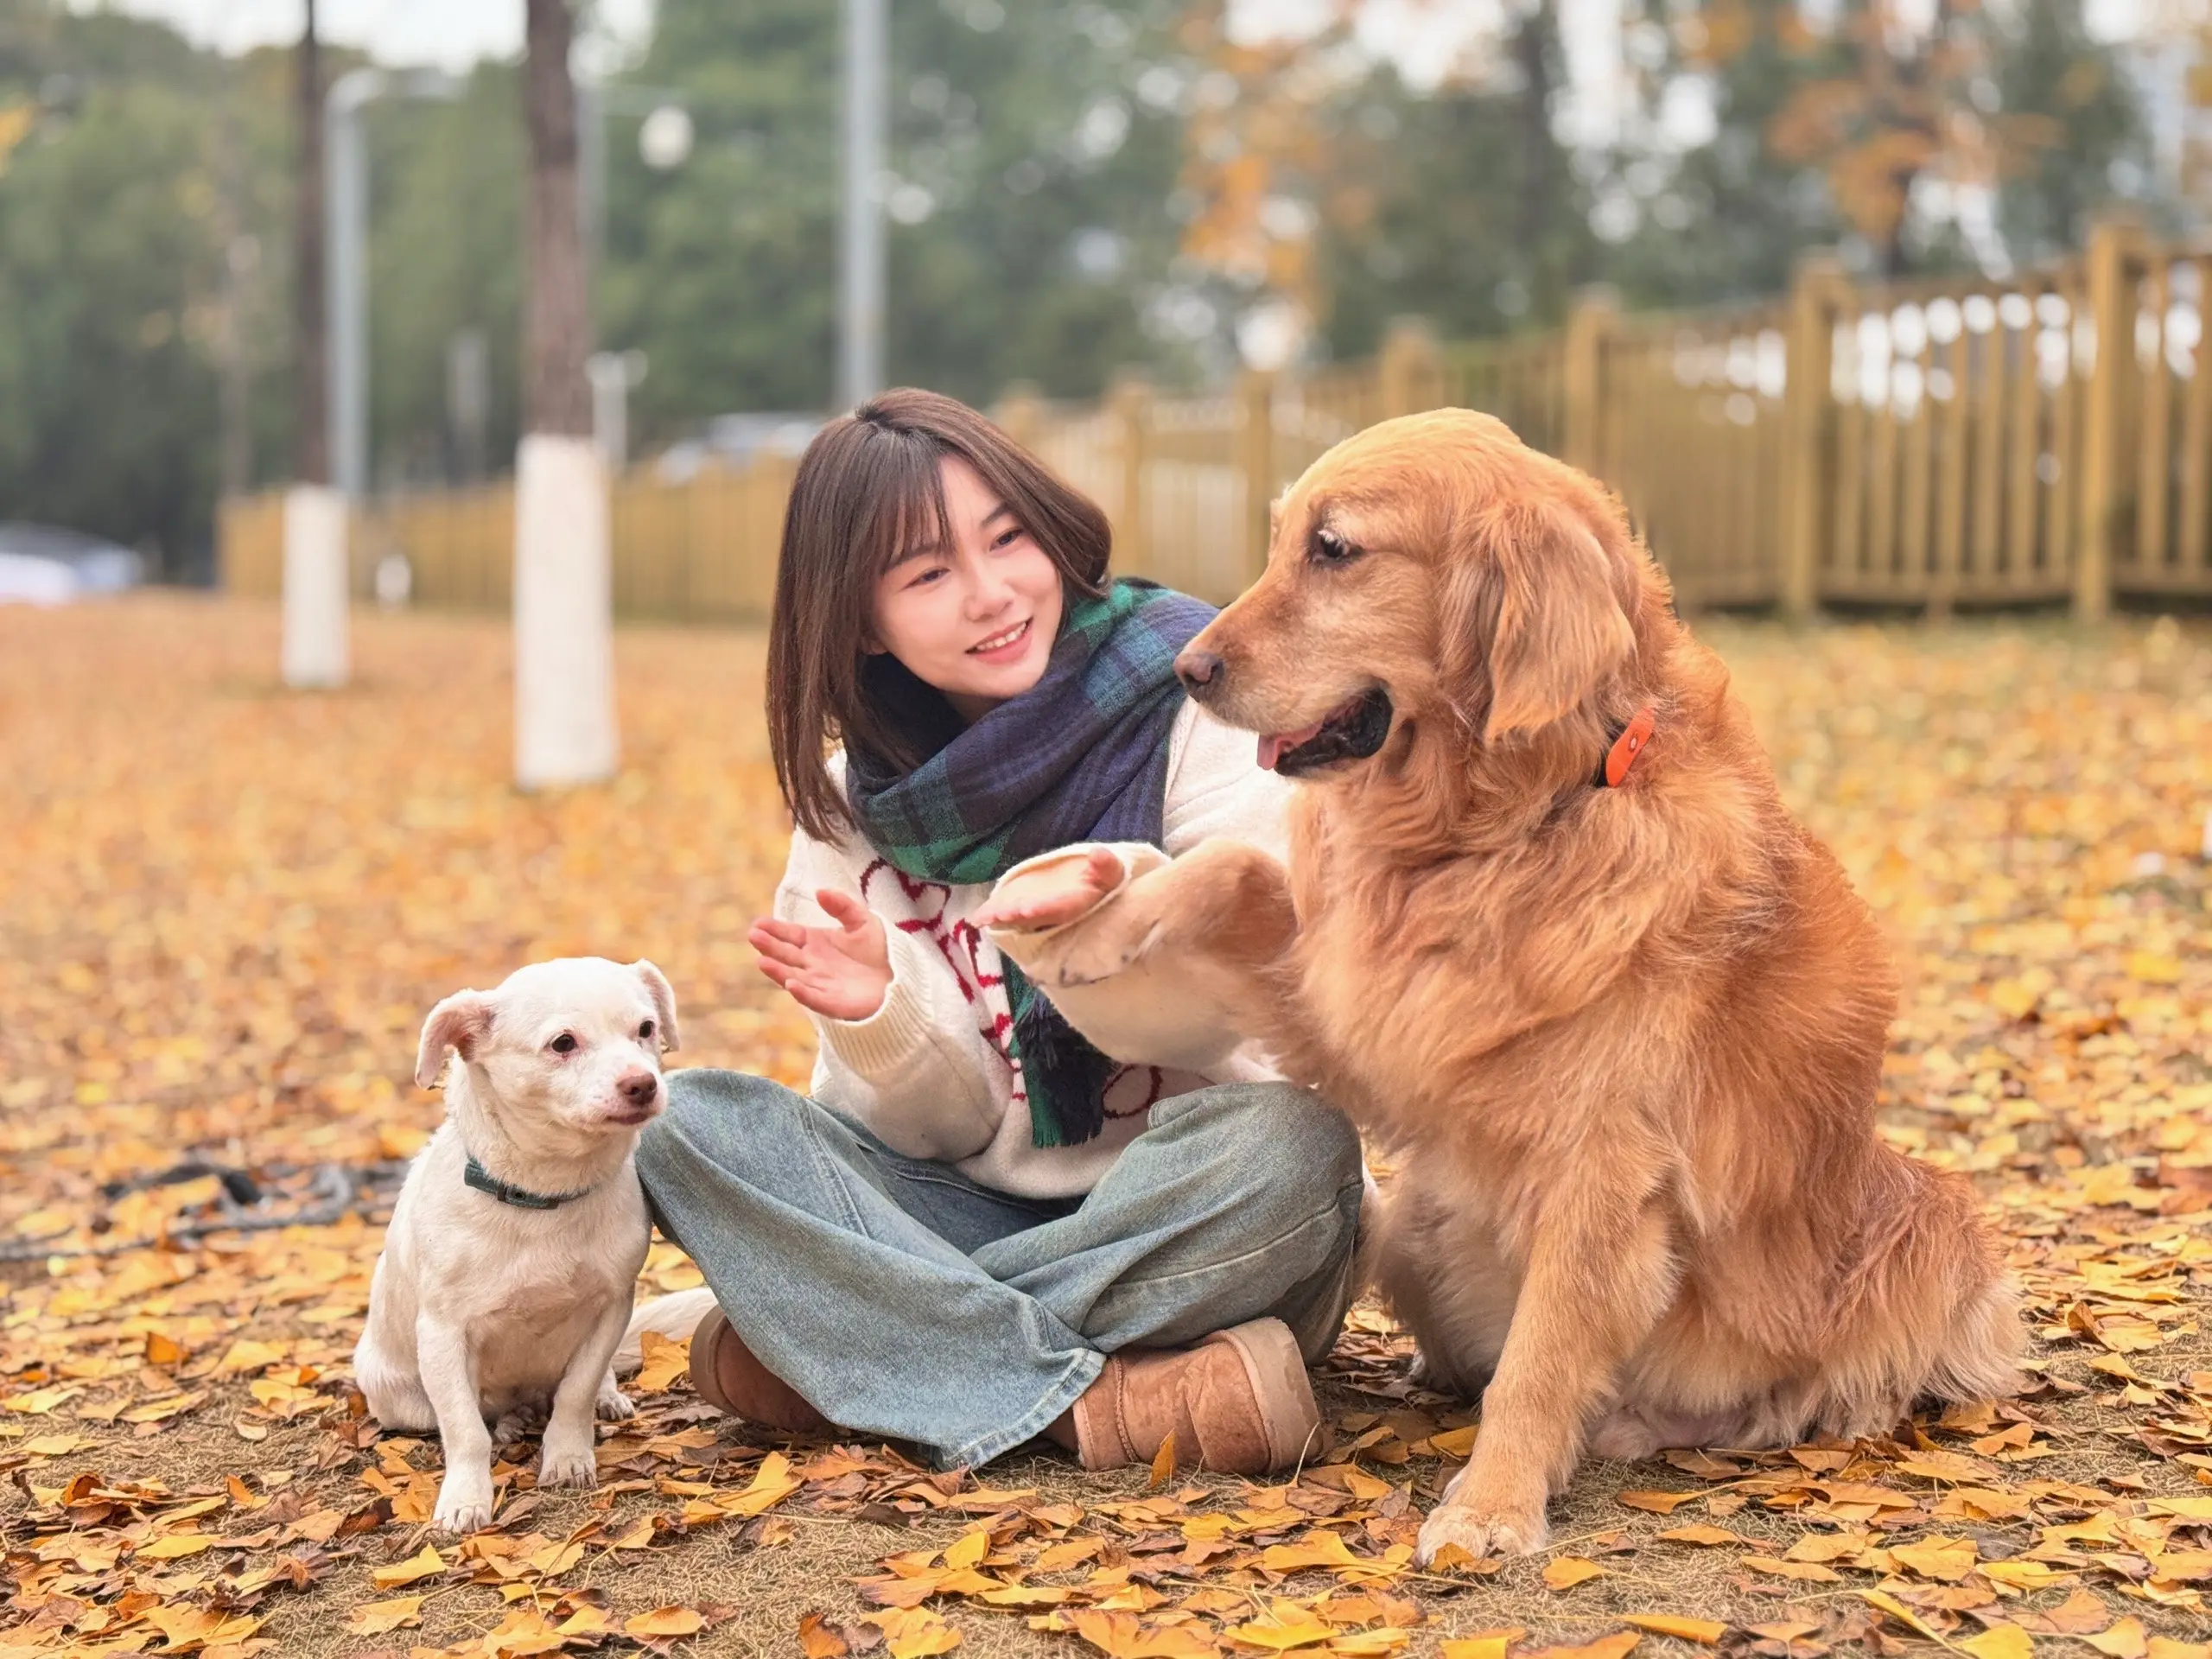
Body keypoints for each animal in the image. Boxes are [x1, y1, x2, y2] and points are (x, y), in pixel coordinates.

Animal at [353, 955, 677, 1539]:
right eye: (563, 1043)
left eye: (646, 1029)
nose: (642, 1084)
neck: (545, 1196)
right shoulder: (442, 1334)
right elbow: (463, 1429)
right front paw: (466, 1498)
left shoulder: (611, 1308)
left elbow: (575, 1392)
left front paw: (568, 1458)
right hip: (399, 1396)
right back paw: (507, 1424)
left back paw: (604, 1397)